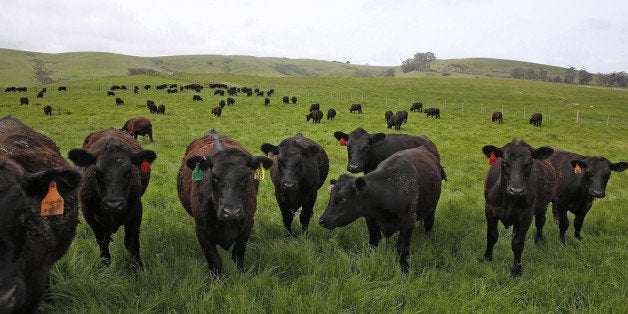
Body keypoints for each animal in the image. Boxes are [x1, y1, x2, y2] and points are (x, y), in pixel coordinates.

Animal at [68, 127, 157, 270]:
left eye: (128, 171)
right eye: (97, 172)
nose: (113, 204)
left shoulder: (136, 211)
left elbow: (132, 243)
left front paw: (138, 269)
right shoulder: (89, 214)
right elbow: (102, 242)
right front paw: (106, 267)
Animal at [178, 129, 274, 274]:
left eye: (246, 177)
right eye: (214, 177)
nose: (231, 212)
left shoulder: (247, 226)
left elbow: (238, 256)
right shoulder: (201, 231)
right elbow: (215, 262)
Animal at [480, 140, 556, 278]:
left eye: (528, 164)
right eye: (505, 163)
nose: (516, 190)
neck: (509, 200)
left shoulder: (526, 216)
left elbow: (518, 243)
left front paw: (516, 269)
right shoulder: (489, 210)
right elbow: (492, 236)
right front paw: (487, 258)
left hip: (543, 205)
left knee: (540, 222)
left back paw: (539, 240)